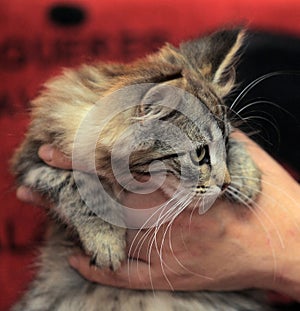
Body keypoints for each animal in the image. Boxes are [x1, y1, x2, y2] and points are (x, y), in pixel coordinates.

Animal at [9, 28, 268, 310]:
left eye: (226, 143)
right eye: (199, 154)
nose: (225, 183)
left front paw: (246, 175)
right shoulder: (33, 159)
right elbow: (78, 183)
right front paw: (105, 238)